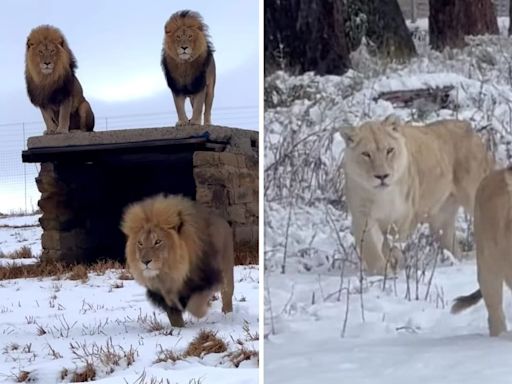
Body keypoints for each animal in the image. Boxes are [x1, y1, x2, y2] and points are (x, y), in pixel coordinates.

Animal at [120, 195, 234, 328]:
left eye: (157, 241)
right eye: (140, 243)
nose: (145, 261)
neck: (172, 272)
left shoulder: (208, 279)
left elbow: (194, 304)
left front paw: (203, 311)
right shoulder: (163, 295)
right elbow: (174, 315)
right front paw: (179, 328)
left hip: (226, 270)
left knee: (227, 294)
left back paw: (228, 315)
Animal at [342, 117, 494, 276]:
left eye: (389, 150)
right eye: (366, 154)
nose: (382, 176)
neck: (383, 196)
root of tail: (468, 127)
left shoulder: (404, 218)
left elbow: (392, 243)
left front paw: (394, 262)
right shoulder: (363, 216)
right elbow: (371, 247)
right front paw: (383, 272)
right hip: (440, 220)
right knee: (451, 244)